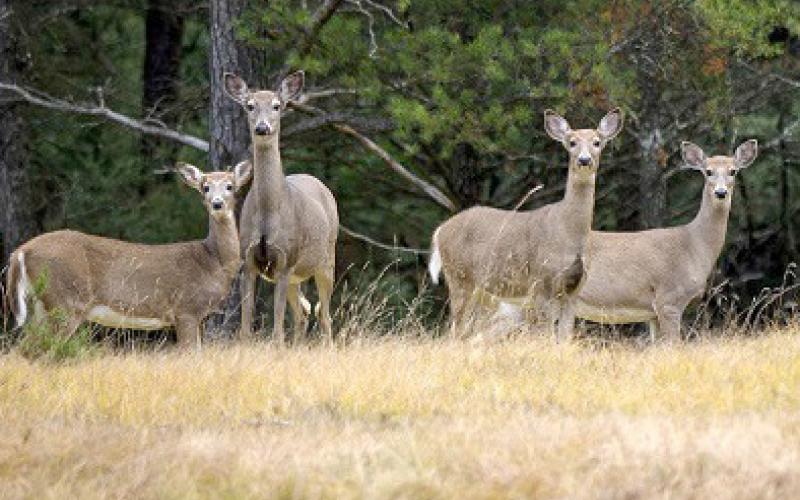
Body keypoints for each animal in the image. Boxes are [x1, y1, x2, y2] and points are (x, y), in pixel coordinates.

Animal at [4, 161, 253, 348]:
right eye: (205, 187)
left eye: (230, 186)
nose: (217, 204)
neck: (212, 262)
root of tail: (21, 251)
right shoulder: (186, 309)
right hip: (65, 300)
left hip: (41, 303)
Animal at [223, 71, 339, 344]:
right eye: (250, 105)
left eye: (277, 106)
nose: (262, 127)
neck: (268, 214)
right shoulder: (248, 261)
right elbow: (245, 329)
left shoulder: (285, 260)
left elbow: (276, 330)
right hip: (297, 276)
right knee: (304, 313)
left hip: (326, 259)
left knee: (324, 315)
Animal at [428, 108, 624, 341]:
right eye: (572, 142)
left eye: (597, 142)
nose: (584, 160)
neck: (569, 232)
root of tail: (440, 231)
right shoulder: (541, 281)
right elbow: (544, 334)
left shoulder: (574, 289)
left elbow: (564, 337)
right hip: (459, 276)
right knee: (455, 331)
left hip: (481, 291)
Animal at [561, 139, 759, 341]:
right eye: (708, 171)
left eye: (733, 171)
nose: (721, 192)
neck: (694, 245)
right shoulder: (669, 298)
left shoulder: (652, 313)